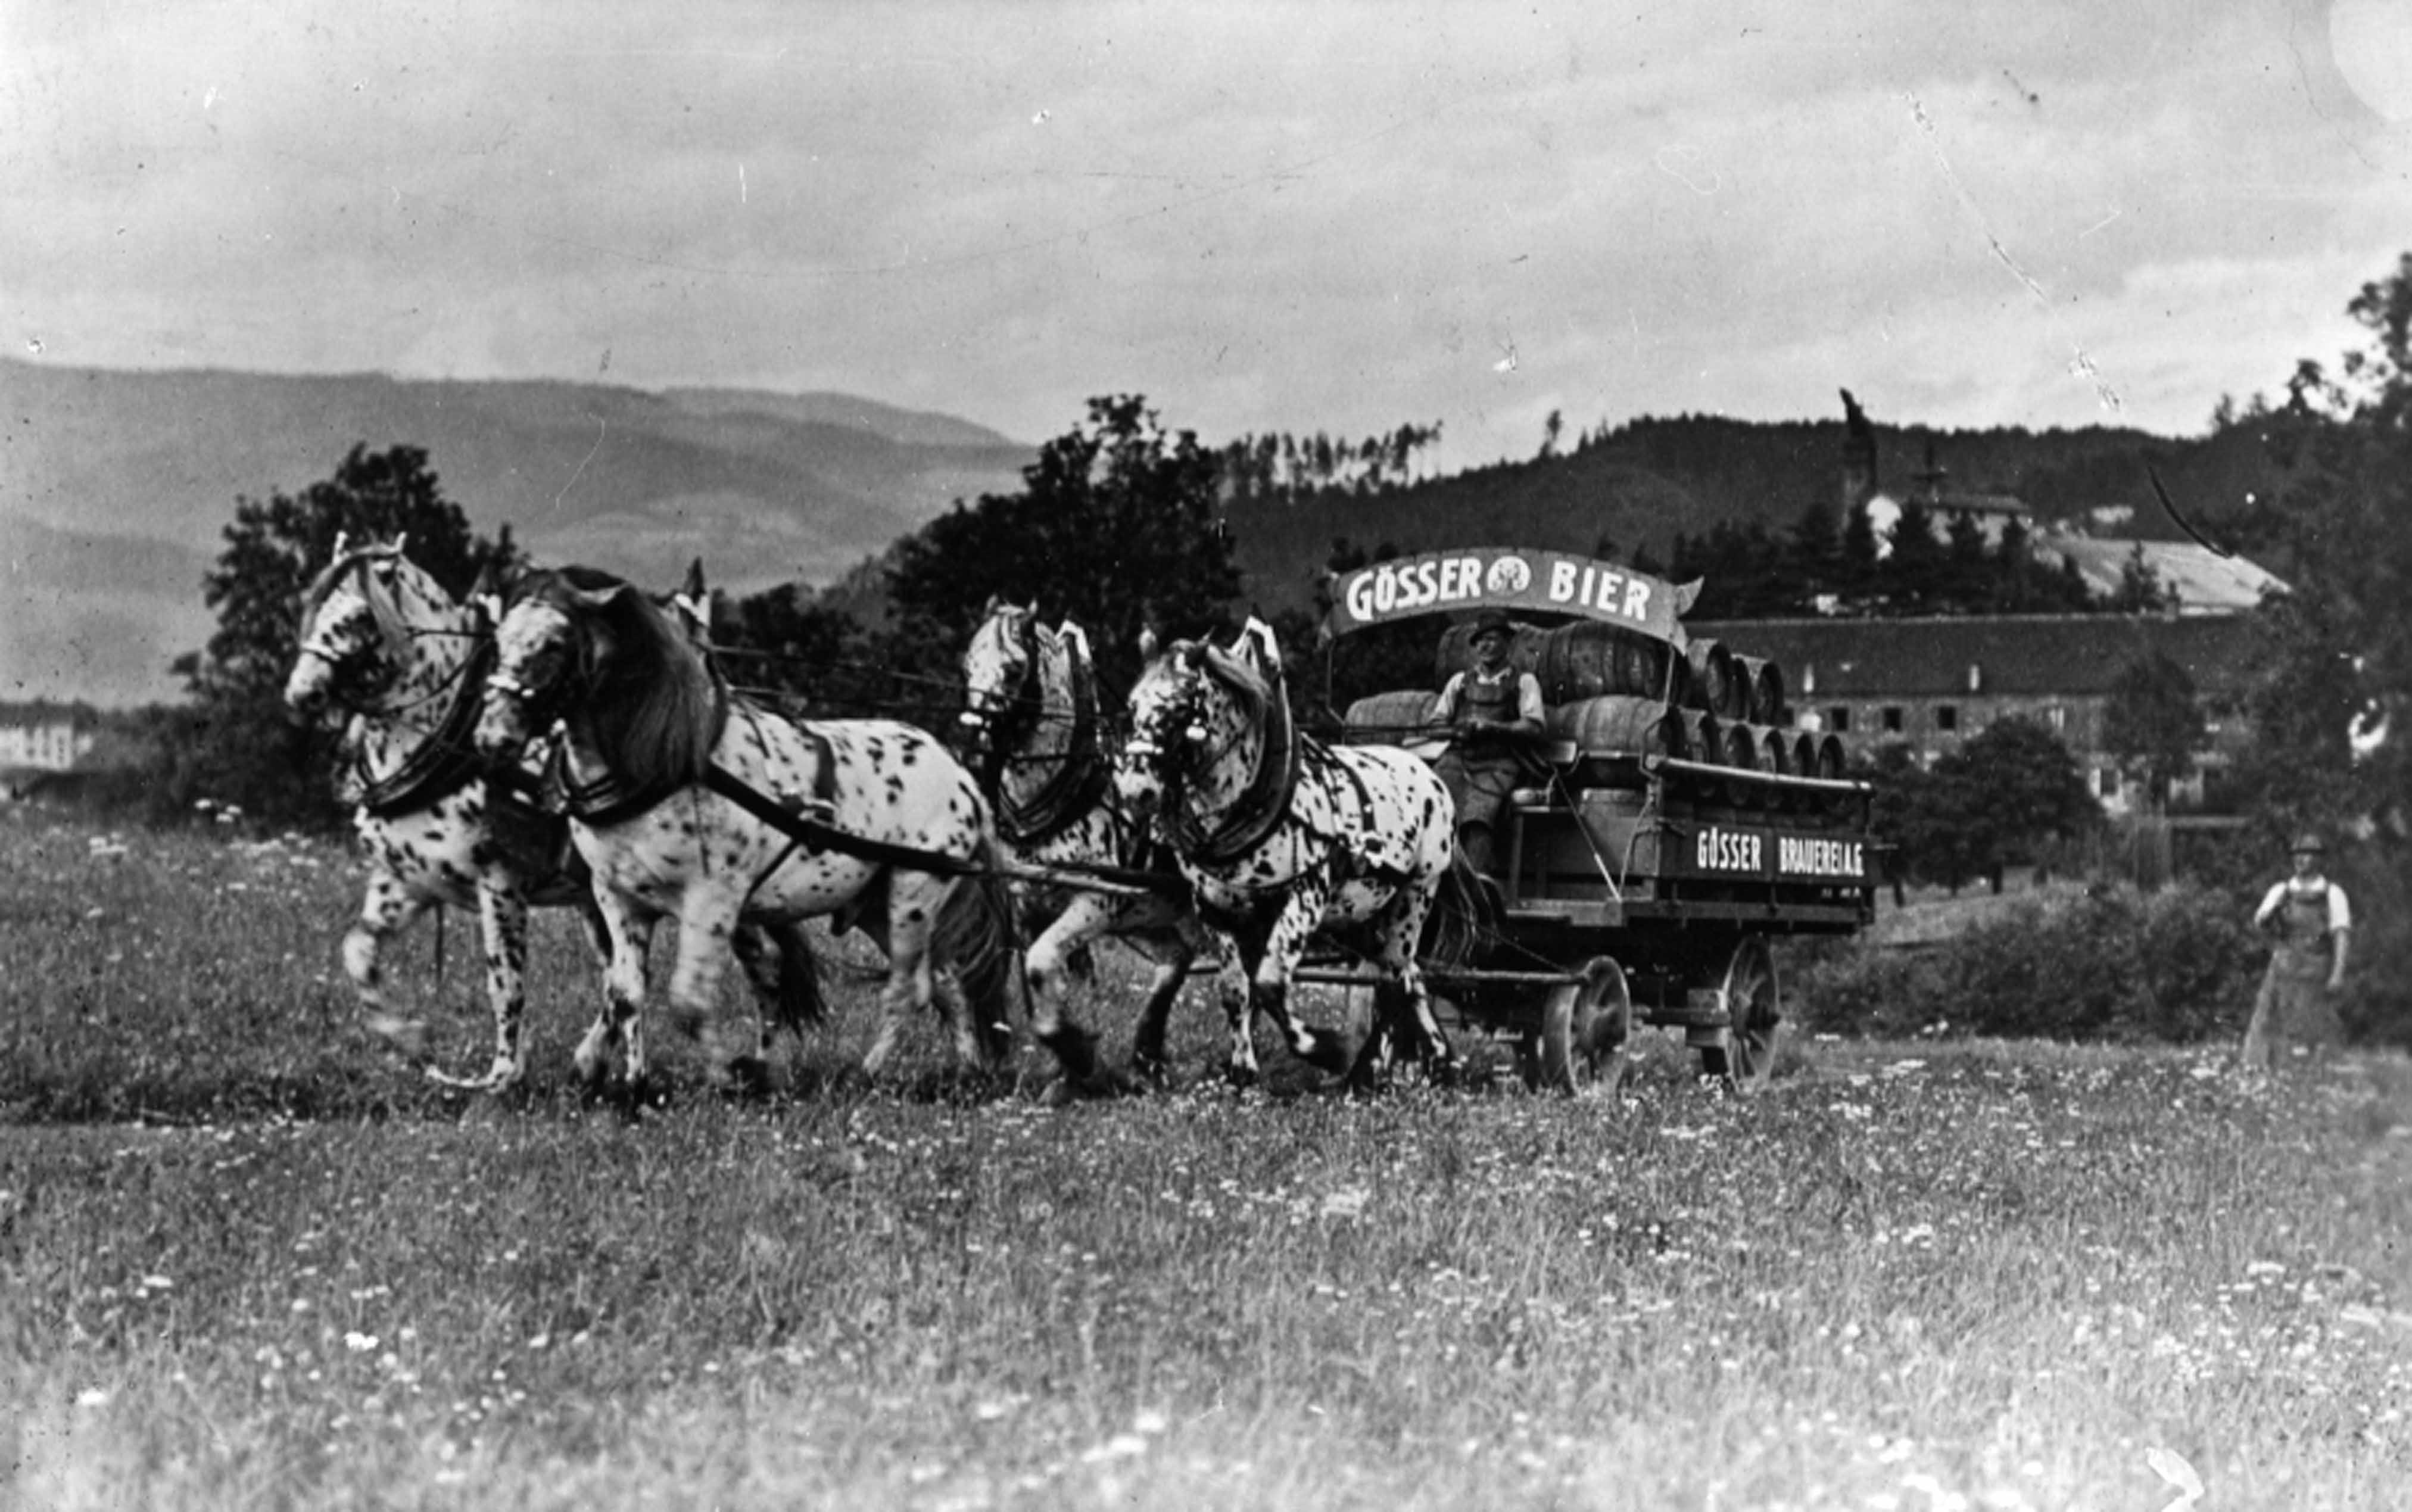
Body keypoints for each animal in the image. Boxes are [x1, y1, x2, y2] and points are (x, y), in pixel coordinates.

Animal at [283, 540, 825, 1092]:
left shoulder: (500, 883)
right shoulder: (405, 882)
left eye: (359, 618)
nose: (301, 693)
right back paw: (622, 1065)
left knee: (761, 968)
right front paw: (410, 1038)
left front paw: (504, 1074)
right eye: (315, 607)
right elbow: (358, 953)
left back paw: (743, 1066)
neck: (445, 744)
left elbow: (505, 983)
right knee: (638, 976)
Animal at [472, 564, 1020, 1094]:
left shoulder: (713, 900)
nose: (492, 737)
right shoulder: (619, 899)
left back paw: (870, 1072)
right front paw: (614, 1077)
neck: (662, 762)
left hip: (914, 893)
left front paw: (734, 1074)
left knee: (910, 989)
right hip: (877, 905)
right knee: (947, 983)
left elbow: (689, 1003)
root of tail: (963, 777)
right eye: (499, 640)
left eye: (554, 643)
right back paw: (970, 1069)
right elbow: (624, 995)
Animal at [958, 599, 1240, 1090]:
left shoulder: (1095, 901)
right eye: (967, 667)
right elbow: (1042, 980)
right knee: (1175, 959)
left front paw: (1076, 1053)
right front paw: (1063, 1069)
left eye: (1013, 669)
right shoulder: (1029, 904)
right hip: (1151, 913)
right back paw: (1147, 1057)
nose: (973, 750)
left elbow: (1041, 963)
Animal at [1116, 617, 1461, 1086]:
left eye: (1181, 709)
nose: (1137, 790)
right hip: (1361, 916)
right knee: (1409, 976)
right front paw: (1242, 1070)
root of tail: (1428, 773)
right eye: (1133, 706)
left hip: (1415, 896)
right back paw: (1441, 1060)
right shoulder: (1217, 908)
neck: (1250, 803)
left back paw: (1371, 1069)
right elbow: (1236, 990)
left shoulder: (1304, 897)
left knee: (1392, 979)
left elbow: (1270, 984)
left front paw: (1323, 1048)